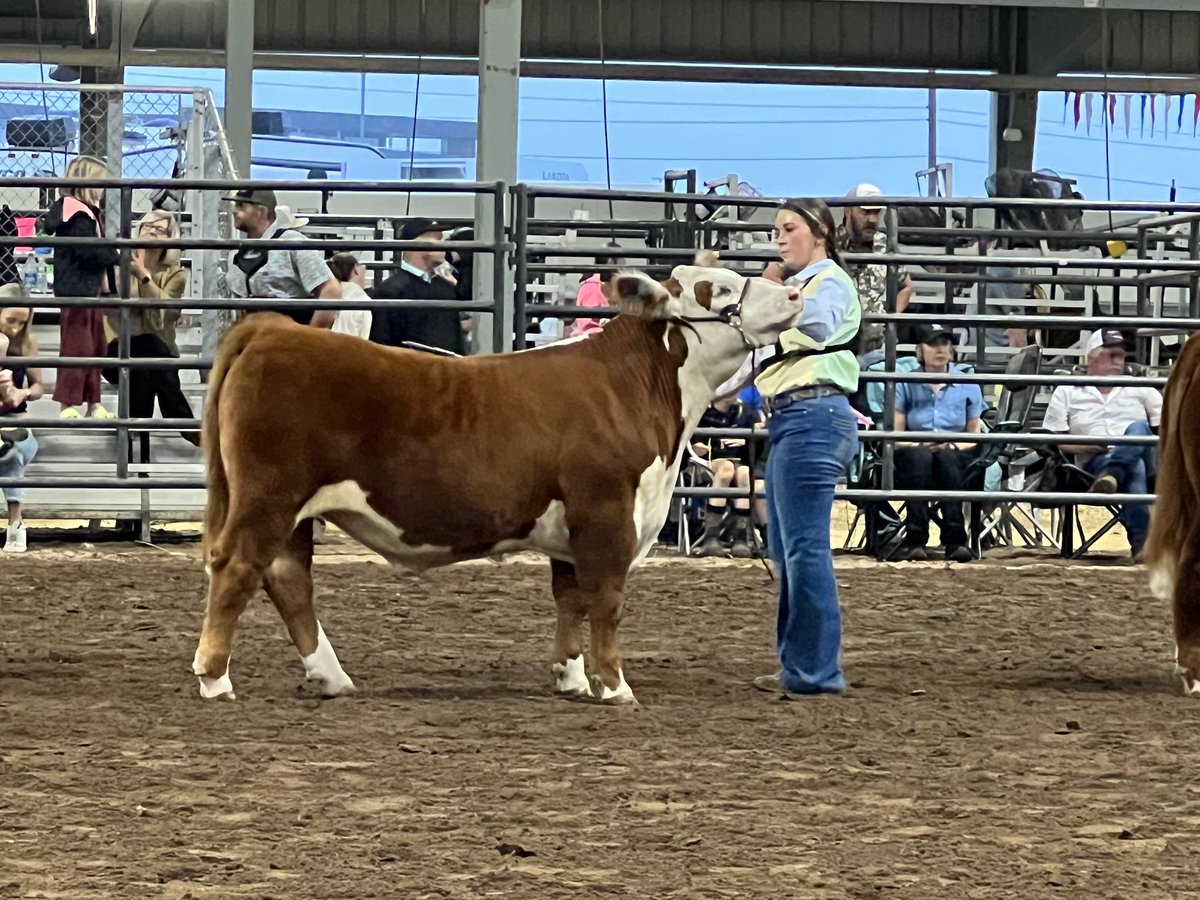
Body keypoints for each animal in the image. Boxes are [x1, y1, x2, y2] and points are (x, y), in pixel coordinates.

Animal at [191, 266, 804, 704]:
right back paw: (214, 678)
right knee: (238, 567)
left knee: (288, 579)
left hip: (291, 511)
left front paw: (570, 678)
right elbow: (605, 602)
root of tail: (273, 328)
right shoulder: (606, 513)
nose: (796, 295)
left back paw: (331, 676)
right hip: (269, 496)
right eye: (718, 288)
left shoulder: (572, 527)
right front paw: (615, 686)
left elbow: (570, 600)